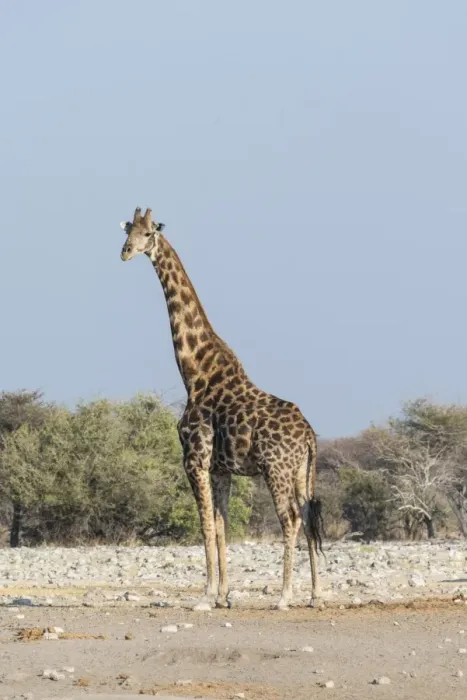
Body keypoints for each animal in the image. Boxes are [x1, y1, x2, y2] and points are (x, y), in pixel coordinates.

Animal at [119, 207, 323, 610]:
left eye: (148, 233)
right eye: (127, 231)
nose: (125, 252)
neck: (194, 372)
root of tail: (309, 435)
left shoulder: (194, 459)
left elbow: (205, 525)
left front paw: (206, 595)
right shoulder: (220, 469)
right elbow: (223, 524)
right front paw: (224, 596)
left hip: (275, 469)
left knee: (291, 519)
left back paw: (284, 596)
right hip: (301, 472)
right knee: (309, 516)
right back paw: (314, 594)